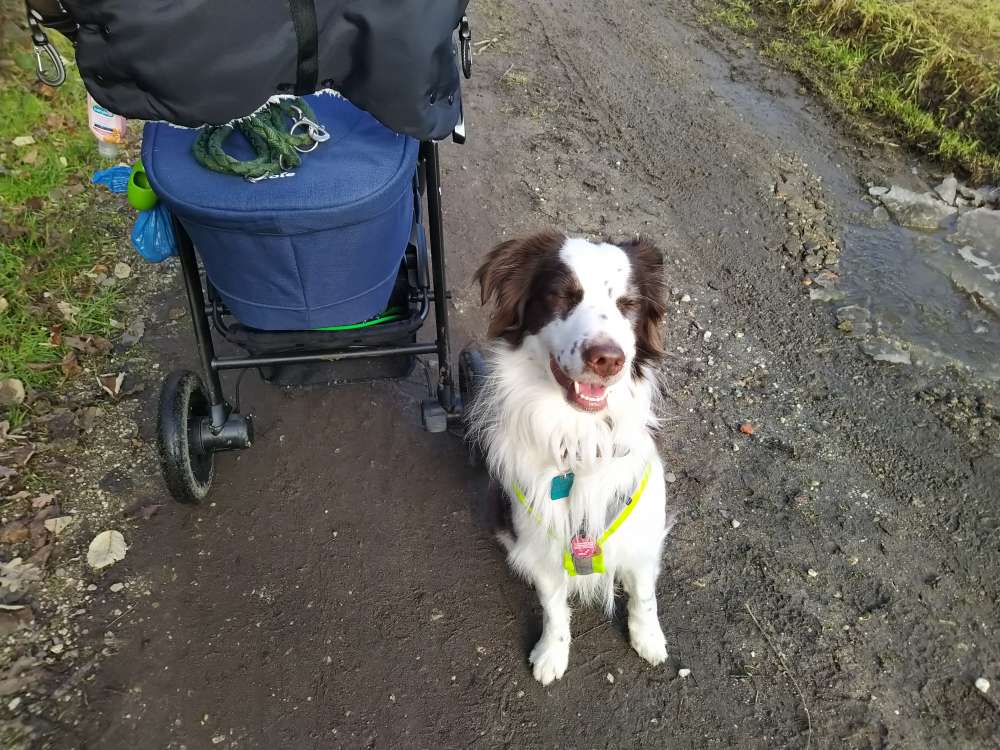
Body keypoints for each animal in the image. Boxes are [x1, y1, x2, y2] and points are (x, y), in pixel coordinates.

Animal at [468, 231, 672, 688]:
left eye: (628, 304)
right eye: (561, 295)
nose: (608, 359)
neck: (582, 439)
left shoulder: (642, 533)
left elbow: (644, 595)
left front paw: (648, 638)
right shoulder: (541, 544)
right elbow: (553, 607)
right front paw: (551, 653)